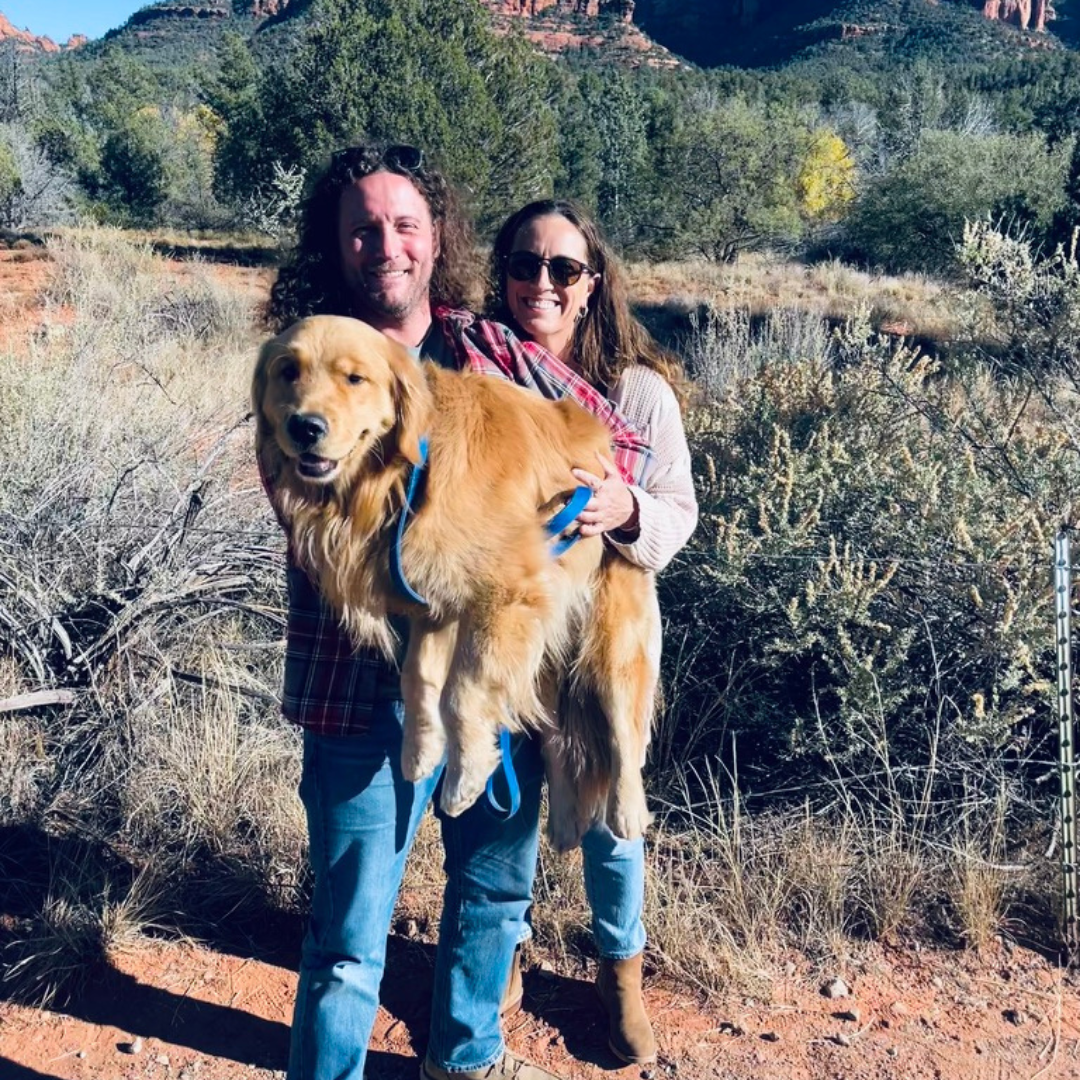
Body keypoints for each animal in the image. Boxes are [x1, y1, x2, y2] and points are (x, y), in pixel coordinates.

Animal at [252, 315, 656, 846]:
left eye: (354, 379)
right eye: (287, 371)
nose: (305, 427)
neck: (409, 473)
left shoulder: (505, 600)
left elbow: (463, 694)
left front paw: (465, 780)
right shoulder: (436, 607)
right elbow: (418, 680)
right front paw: (420, 753)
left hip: (612, 651)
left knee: (624, 737)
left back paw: (626, 813)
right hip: (543, 661)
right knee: (557, 738)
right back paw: (565, 824)